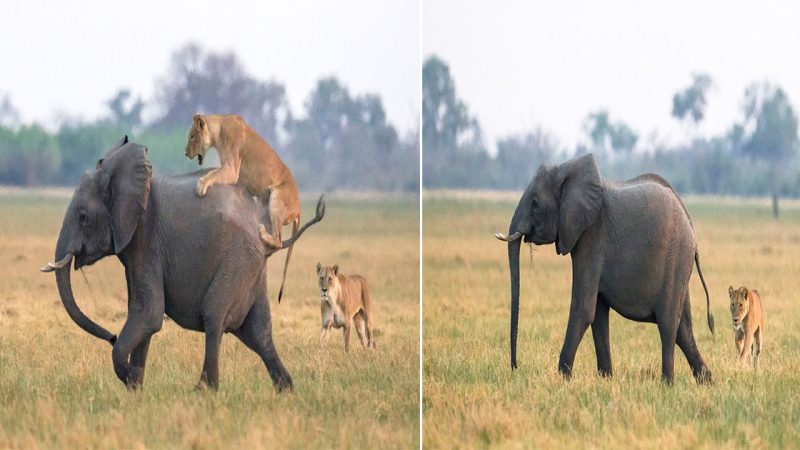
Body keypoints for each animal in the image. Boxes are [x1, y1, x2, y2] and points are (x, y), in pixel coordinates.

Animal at [39, 136, 326, 390]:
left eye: (83, 217)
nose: (110, 336)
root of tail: (266, 228)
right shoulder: (135, 248)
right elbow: (141, 312)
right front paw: (135, 388)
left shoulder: (145, 239)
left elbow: (149, 314)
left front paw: (129, 377)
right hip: (251, 266)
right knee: (258, 332)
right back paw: (285, 389)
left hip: (238, 259)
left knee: (214, 315)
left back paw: (204, 389)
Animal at [496, 154, 716, 384]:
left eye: (535, 203)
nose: (515, 367)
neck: (568, 170)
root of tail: (690, 225)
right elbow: (598, 314)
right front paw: (605, 380)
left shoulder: (592, 237)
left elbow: (583, 308)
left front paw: (563, 379)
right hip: (680, 264)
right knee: (684, 329)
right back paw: (707, 382)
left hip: (675, 257)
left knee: (667, 324)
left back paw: (668, 384)